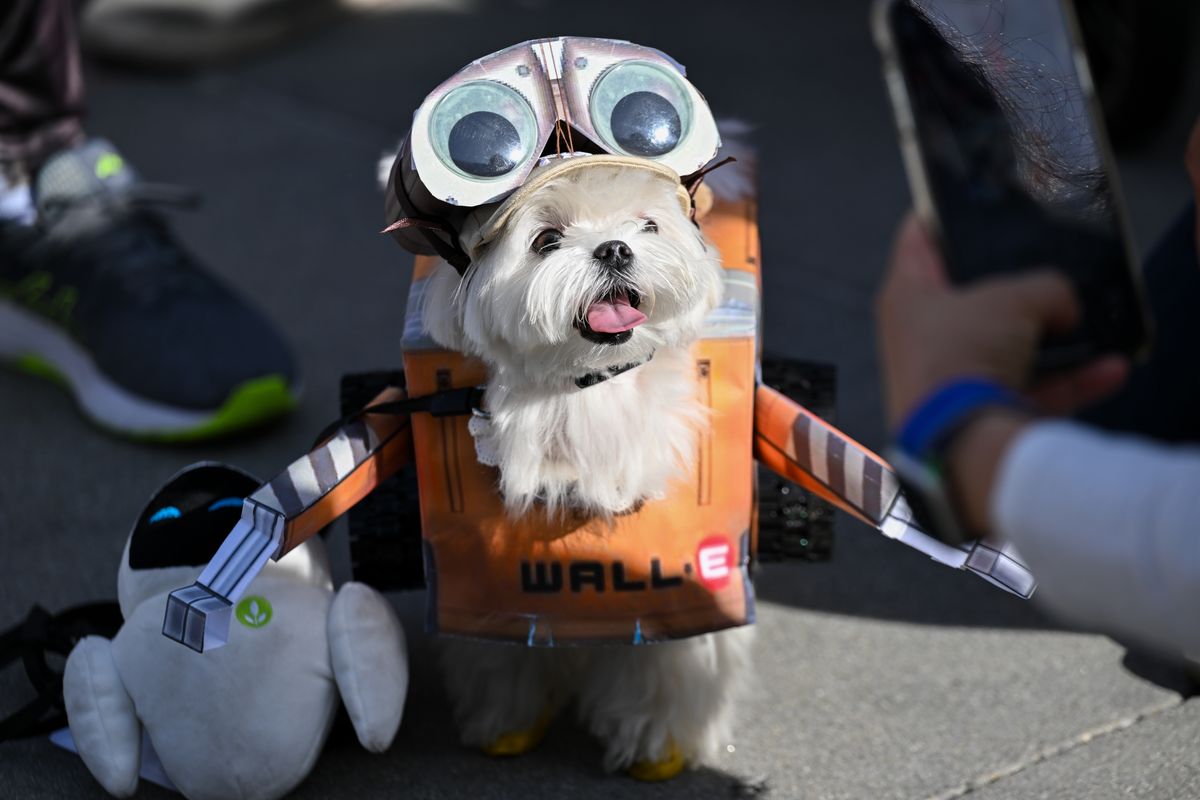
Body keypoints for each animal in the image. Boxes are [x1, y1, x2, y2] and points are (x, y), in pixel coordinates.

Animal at [417, 163, 753, 777]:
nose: (614, 248)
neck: (588, 386)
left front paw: (656, 740)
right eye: (546, 239)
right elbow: (503, 647)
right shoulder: (484, 582)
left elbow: (670, 660)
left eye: (648, 225)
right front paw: (508, 717)